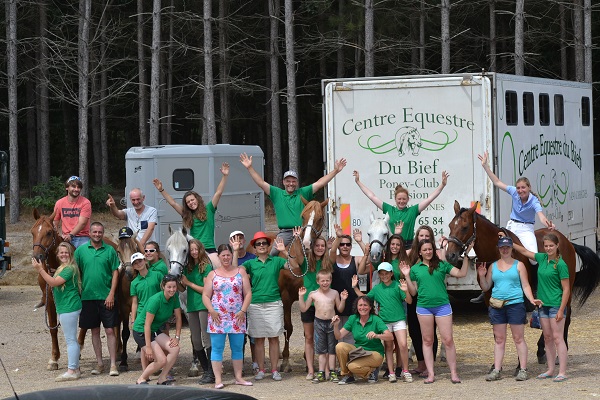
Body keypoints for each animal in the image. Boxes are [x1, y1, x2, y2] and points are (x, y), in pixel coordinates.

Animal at [446, 202, 600, 364]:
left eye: (465, 227)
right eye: (450, 225)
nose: (450, 255)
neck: (496, 252)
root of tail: (566, 241)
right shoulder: (489, 297)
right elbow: (497, 330)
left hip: (566, 286)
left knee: (565, 314)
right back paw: (541, 350)